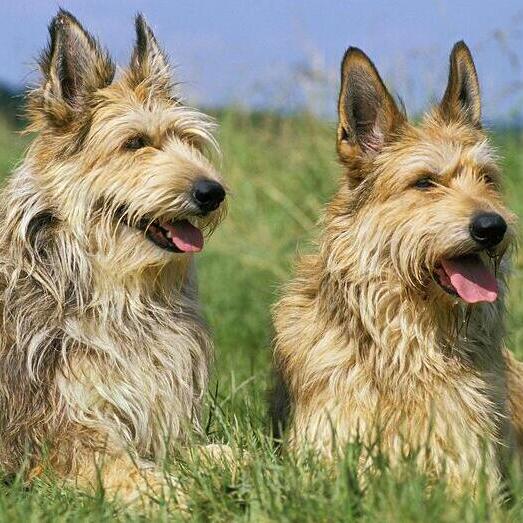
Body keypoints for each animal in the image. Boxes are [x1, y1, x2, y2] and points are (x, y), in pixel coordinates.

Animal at [0, 9, 229, 500]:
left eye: (189, 140)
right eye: (135, 143)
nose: (213, 192)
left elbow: (225, 453)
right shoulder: (58, 436)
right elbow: (134, 475)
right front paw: (182, 498)